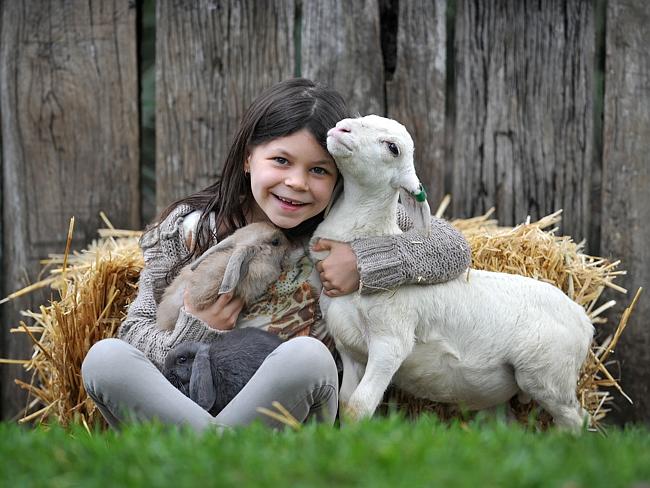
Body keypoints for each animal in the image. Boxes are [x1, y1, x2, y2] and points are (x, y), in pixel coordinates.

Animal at [312, 114, 596, 430]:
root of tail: (583, 319)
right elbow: (346, 404)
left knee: (576, 420)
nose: (341, 129)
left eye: (393, 148)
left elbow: (358, 408)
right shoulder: (349, 350)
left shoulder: (391, 342)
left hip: (548, 376)